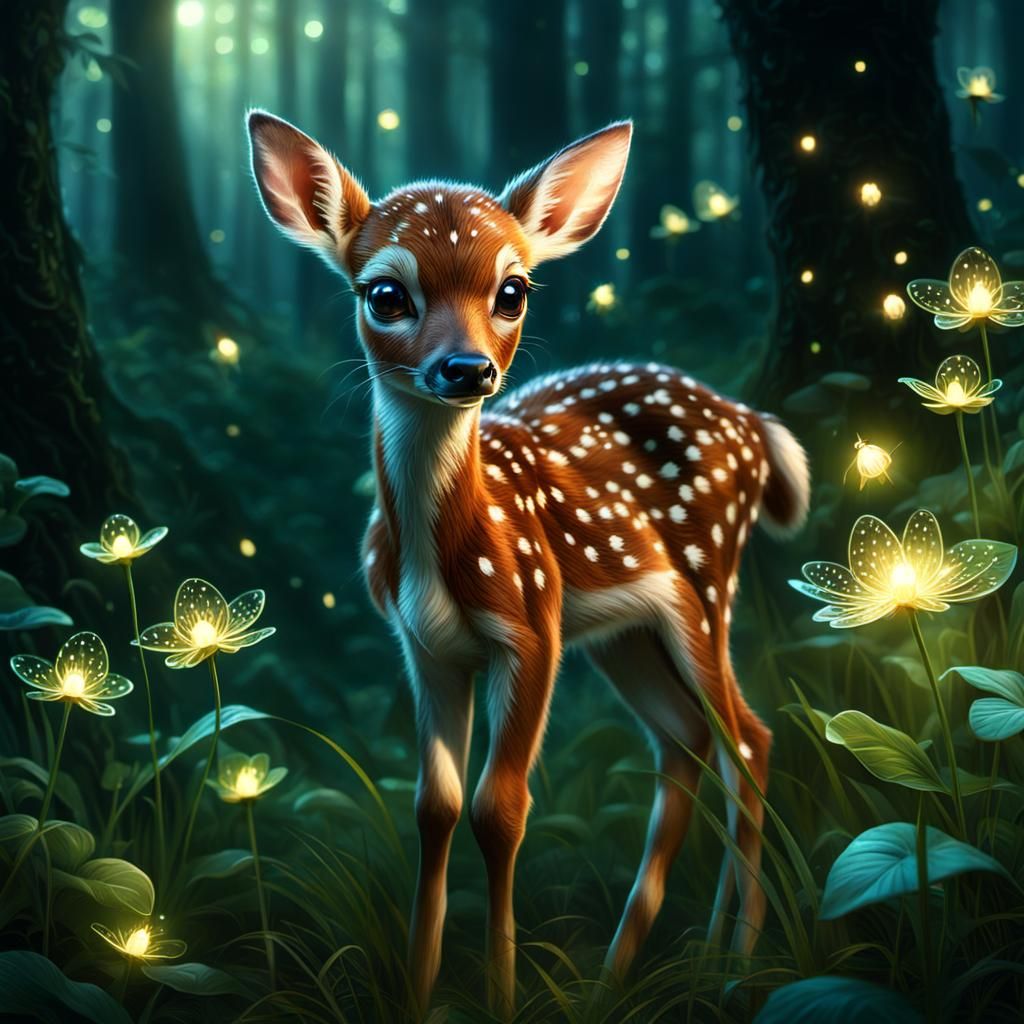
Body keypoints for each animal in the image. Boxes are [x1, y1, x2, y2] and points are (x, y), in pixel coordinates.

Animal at [247, 109, 810, 1017]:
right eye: (385, 293)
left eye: (511, 291)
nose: (467, 368)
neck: (441, 555)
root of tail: (754, 424)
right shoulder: (427, 649)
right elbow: (435, 807)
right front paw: (417, 989)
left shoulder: (533, 628)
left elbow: (500, 809)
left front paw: (501, 994)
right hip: (627, 630)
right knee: (687, 741)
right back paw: (631, 970)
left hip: (705, 581)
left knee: (747, 738)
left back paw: (735, 961)